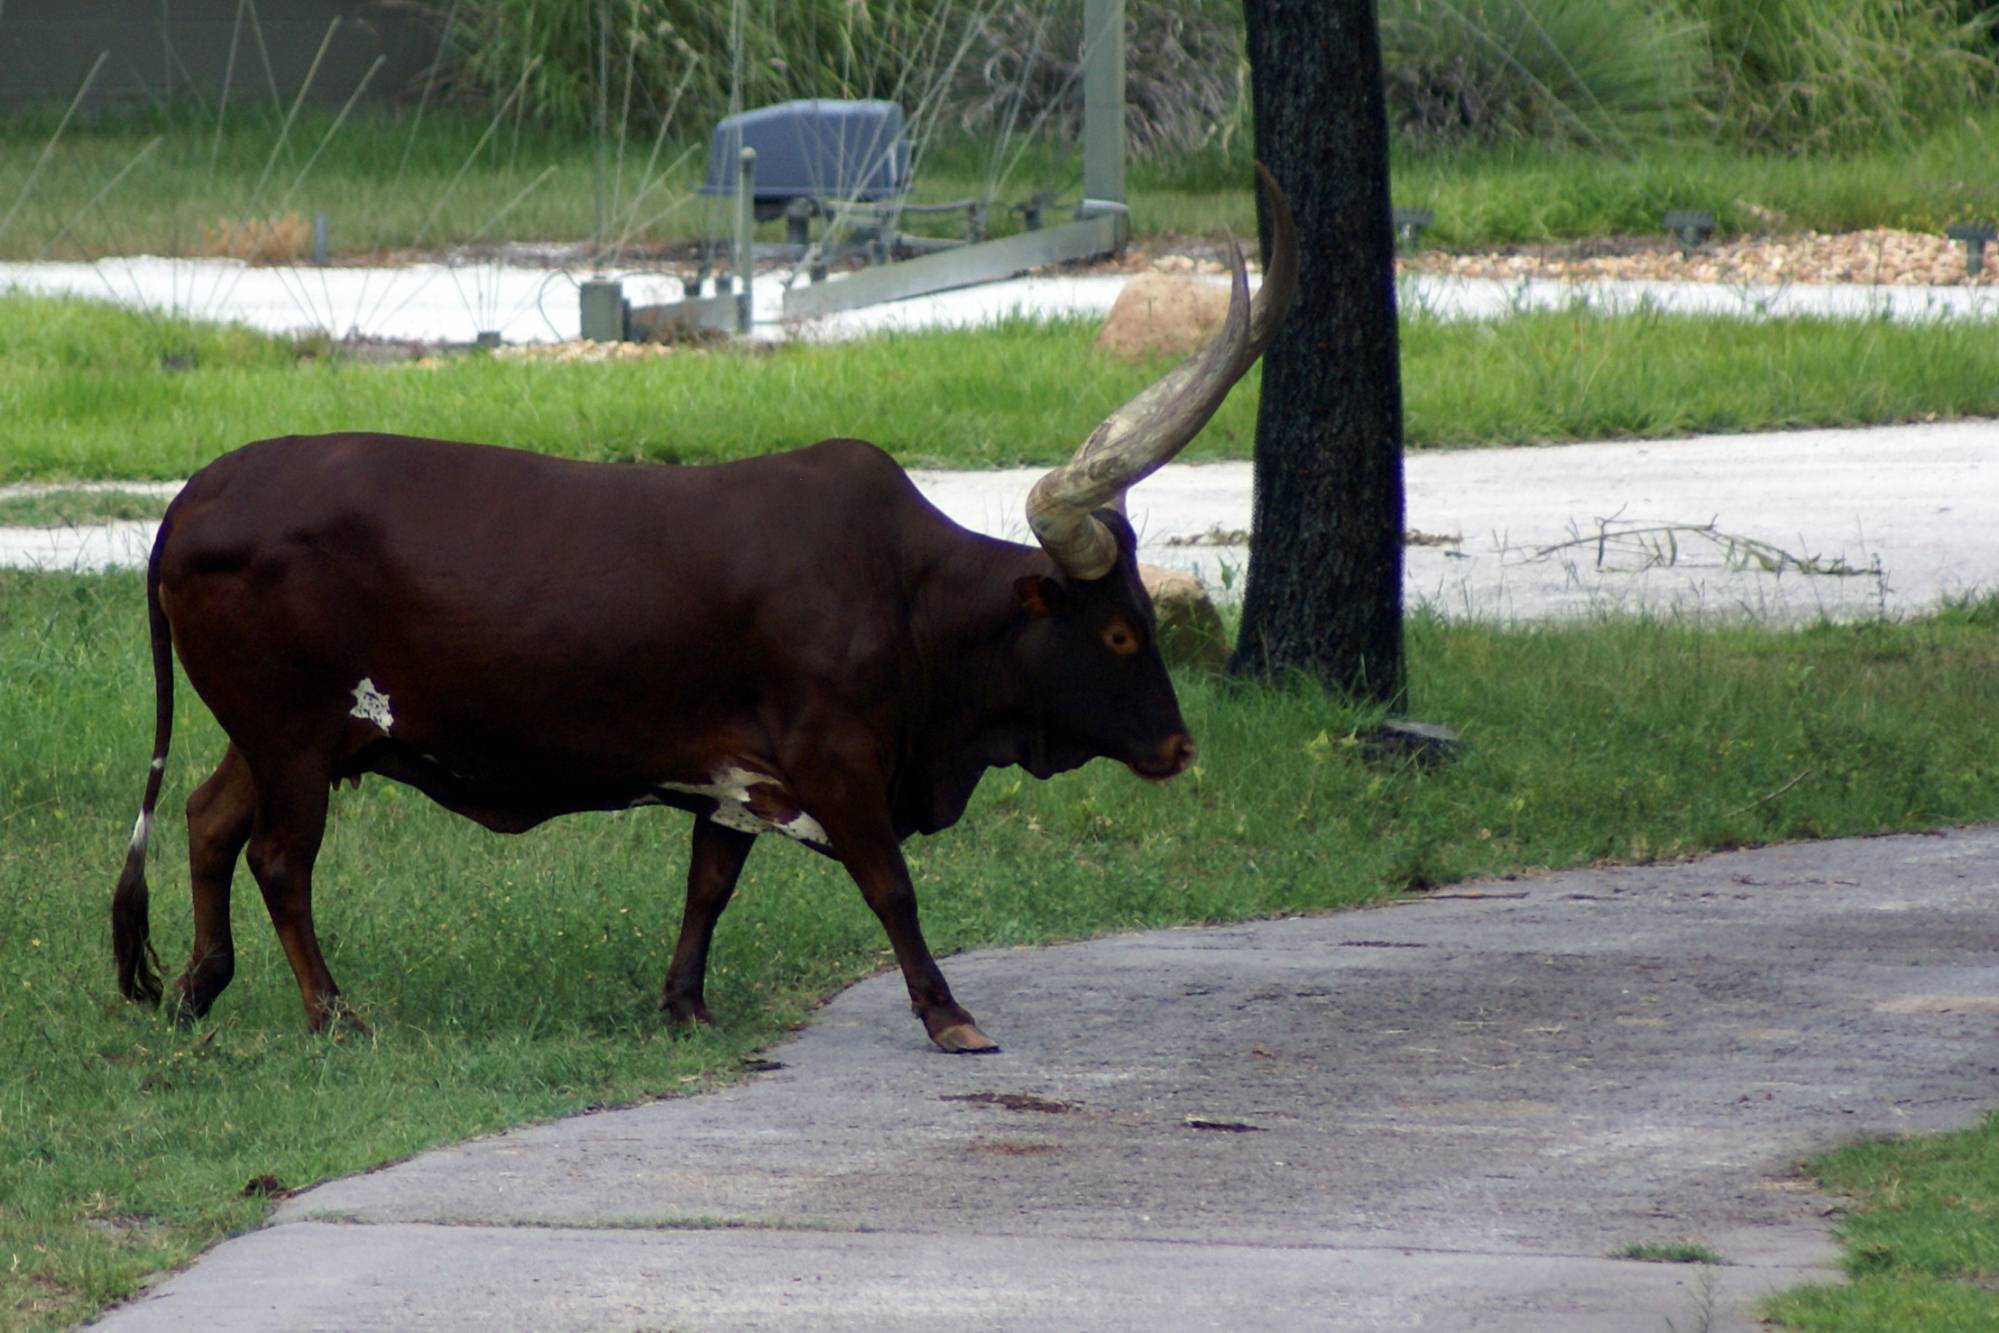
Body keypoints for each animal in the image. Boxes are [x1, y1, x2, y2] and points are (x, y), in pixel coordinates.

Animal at [113, 163, 1295, 1055]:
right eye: (1116, 631)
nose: (1179, 746)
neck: (903, 588)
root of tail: (197, 495)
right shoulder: (837, 760)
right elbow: (891, 884)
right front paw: (948, 1013)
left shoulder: (733, 774)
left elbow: (709, 884)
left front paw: (683, 1003)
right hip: (293, 730)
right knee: (278, 857)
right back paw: (329, 1013)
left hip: (286, 733)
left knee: (209, 819)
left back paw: (197, 988)